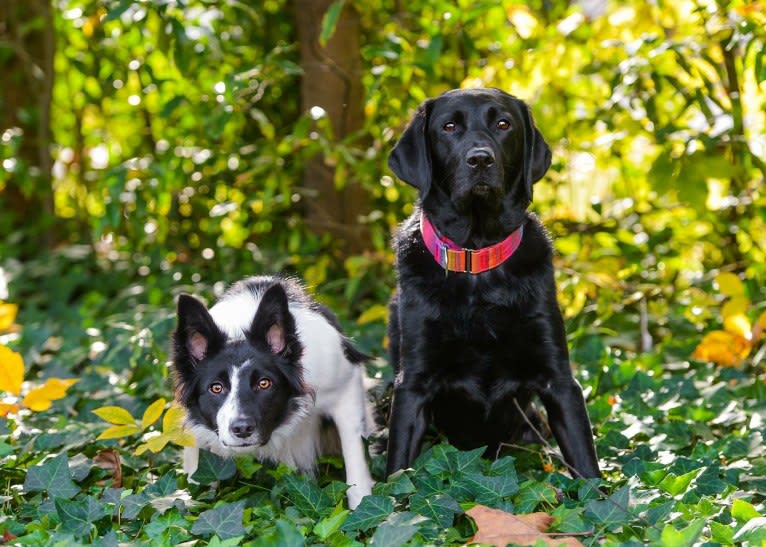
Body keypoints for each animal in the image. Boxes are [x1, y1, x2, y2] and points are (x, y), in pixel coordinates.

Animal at [175, 276, 378, 512]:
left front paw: (361, 505)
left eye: (264, 383)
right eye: (216, 388)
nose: (242, 429)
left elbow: (355, 459)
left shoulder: (346, 389)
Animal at [388, 86, 604, 480]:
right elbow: (396, 475)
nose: (480, 160)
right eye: (449, 127)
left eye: (503, 124)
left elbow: (586, 464)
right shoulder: (412, 385)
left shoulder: (559, 380)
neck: (478, 259)